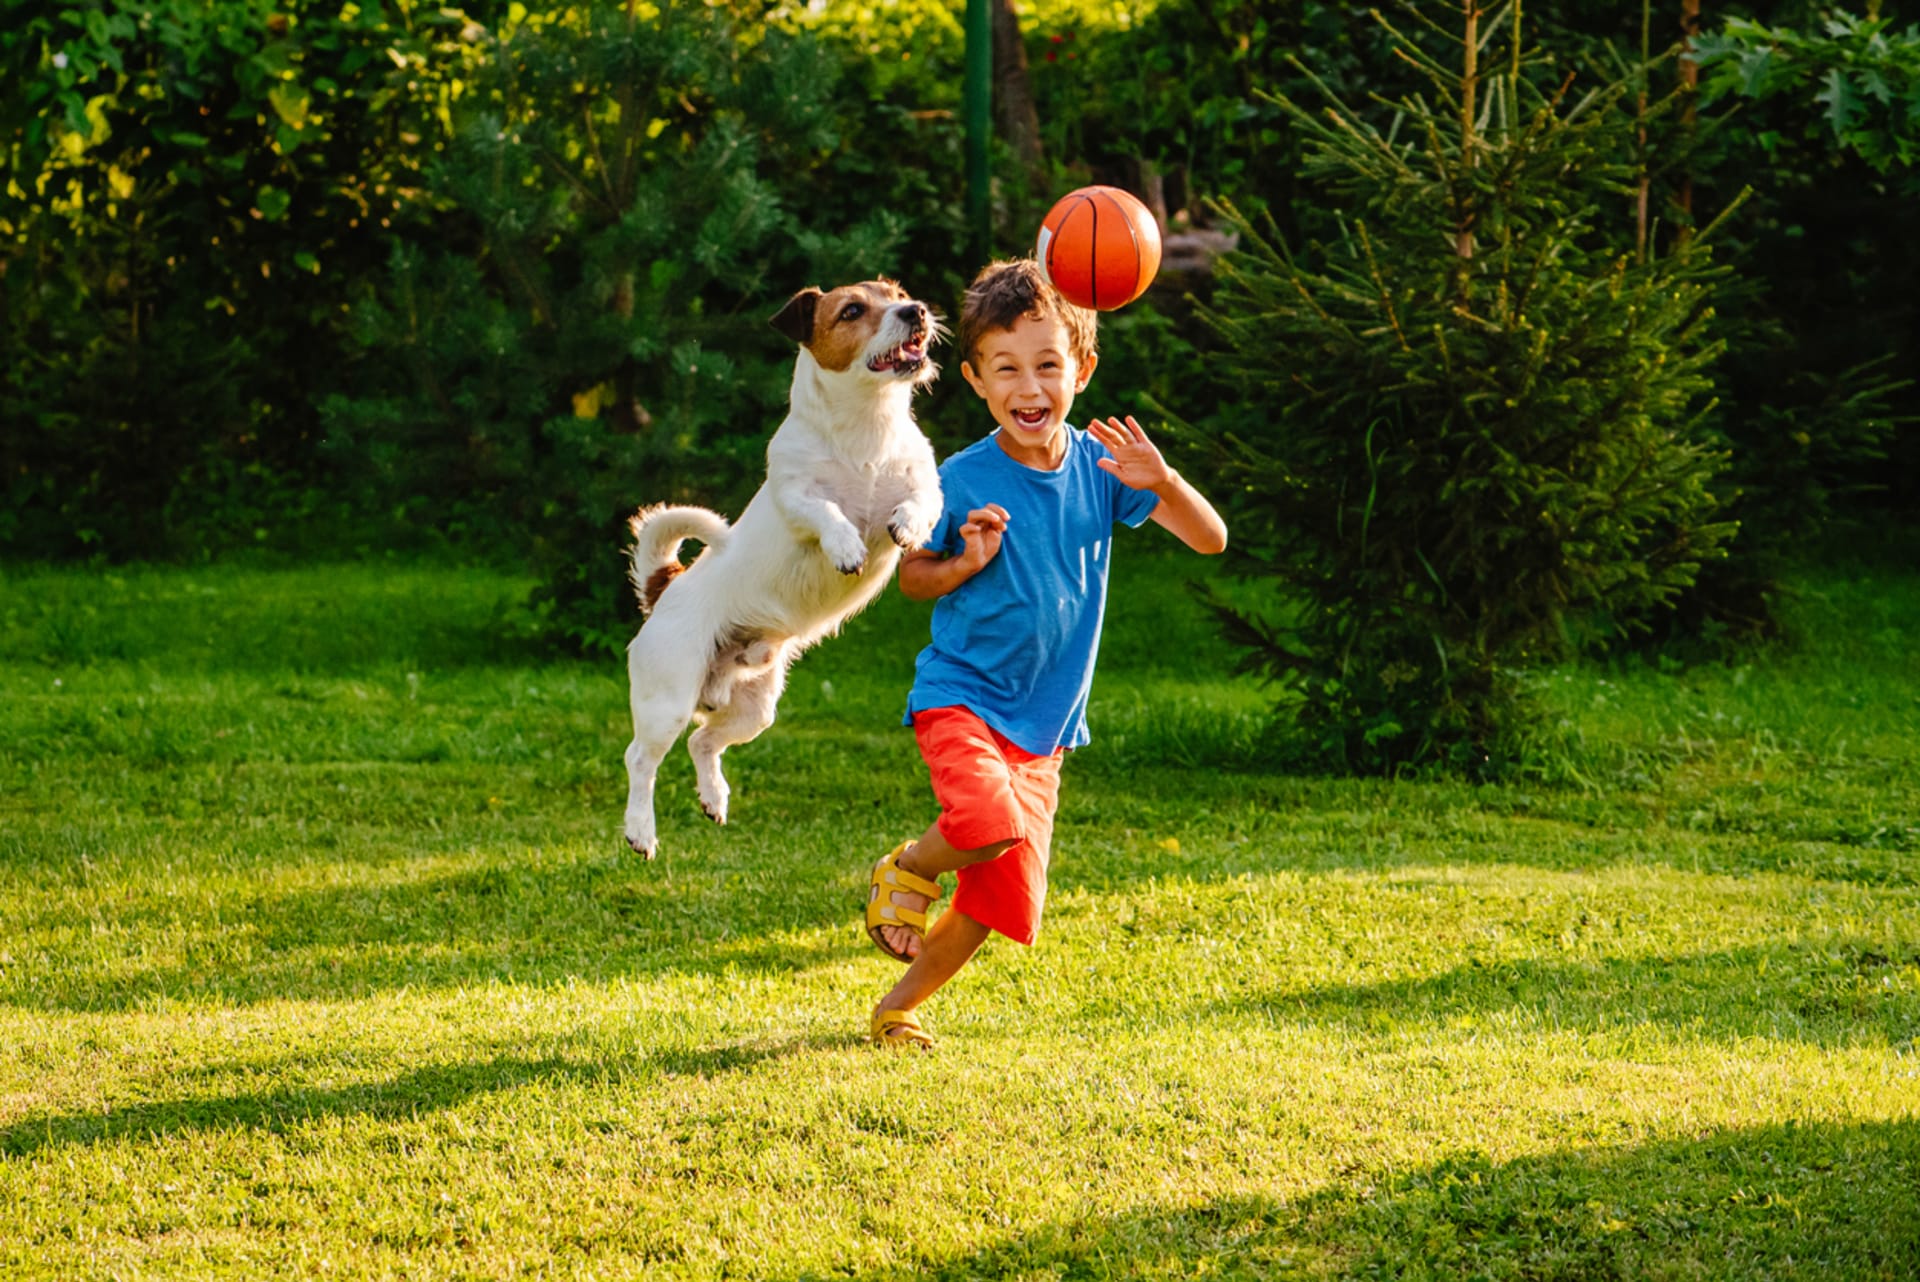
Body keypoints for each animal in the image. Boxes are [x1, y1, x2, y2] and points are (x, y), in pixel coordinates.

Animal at [618, 282, 940, 859]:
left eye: (897, 293)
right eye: (852, 311)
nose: (916, 311)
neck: (867, 429)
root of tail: (665, 588)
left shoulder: (926, 486)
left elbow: (920, 503)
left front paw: (905, 524)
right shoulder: (796, 498)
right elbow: (826, 512)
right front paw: (844, 545)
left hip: (755, 708)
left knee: (703, 741)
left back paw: (714, 797)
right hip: (667, 699)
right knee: (641, 760)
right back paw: (641, 830)